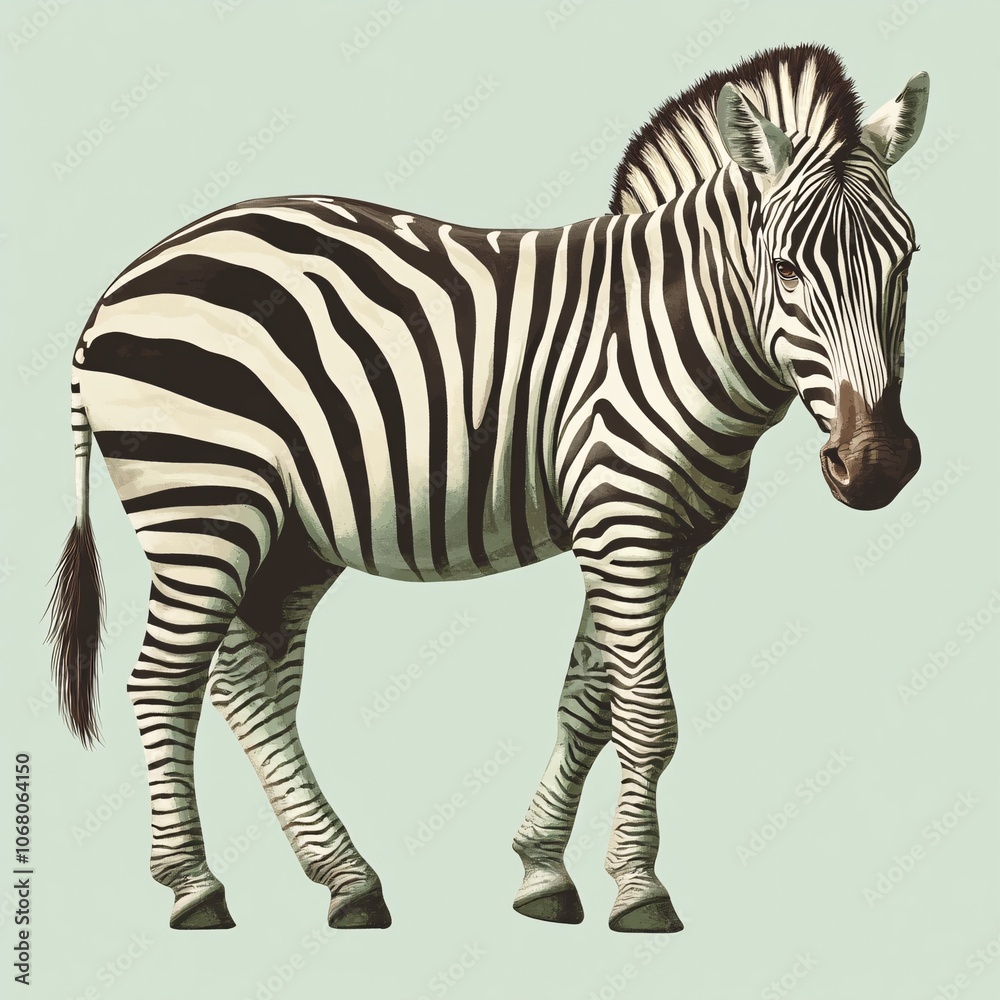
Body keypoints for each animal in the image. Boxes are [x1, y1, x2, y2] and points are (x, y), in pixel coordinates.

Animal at [47, 44, 929, 933]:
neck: (680, 327)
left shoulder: (666, 536)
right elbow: (648, 718)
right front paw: (640, 891)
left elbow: (589, 700)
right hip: (202, 504)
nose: (879, 465)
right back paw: (195, 887)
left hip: (280, 536)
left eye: (908, 260)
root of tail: (126, 278)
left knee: (245, 688)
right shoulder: (623, 518)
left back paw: (346, 881)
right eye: (785, 270)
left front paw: (542, 870)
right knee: (163, 683)